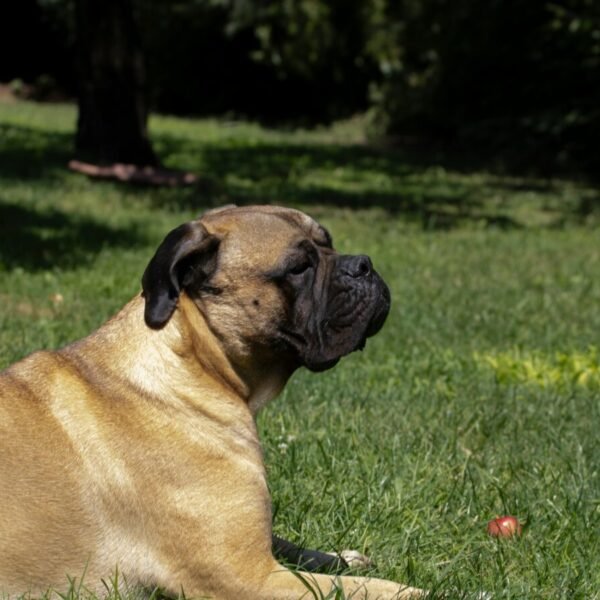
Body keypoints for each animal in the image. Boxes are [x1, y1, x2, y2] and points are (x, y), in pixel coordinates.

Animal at [1, 204, 422, 596]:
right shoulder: (247, 575)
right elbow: (354, 588)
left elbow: (297, 549)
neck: (195, 366)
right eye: (299, 267)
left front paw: (342, 556)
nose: (363, 265)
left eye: (329, 243)